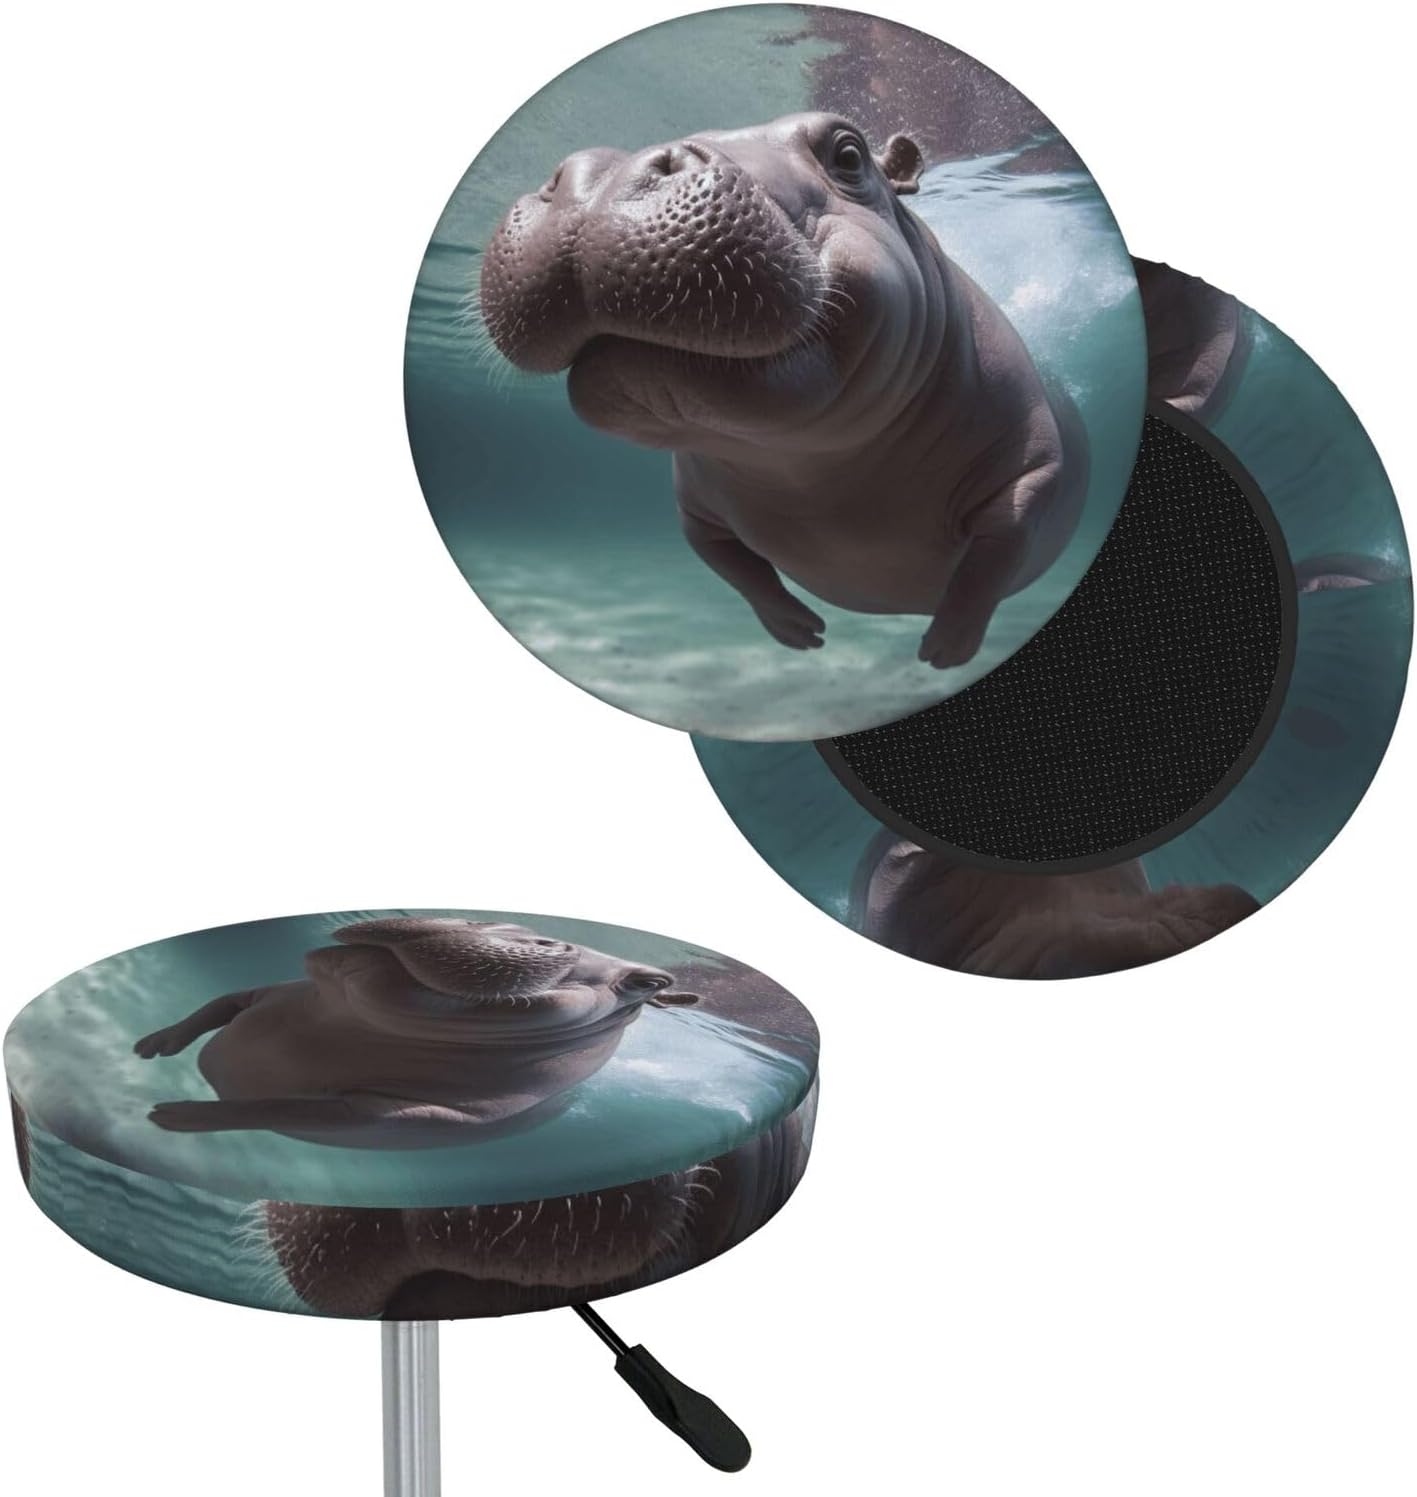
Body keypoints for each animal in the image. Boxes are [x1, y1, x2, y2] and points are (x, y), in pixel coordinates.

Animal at [133, 918, 700, 1147]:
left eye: (649, 983)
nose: (507, 929)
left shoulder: (393, 1114)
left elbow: (274, 1107)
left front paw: (171, 1116)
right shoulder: (266, 993)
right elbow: (218, 1004)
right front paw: (152, 1045)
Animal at [480, 111, 1089, 668]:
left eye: (849, 154)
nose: (610, 172)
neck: (805, 467)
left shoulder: (1034, 472)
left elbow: (989, 563)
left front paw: (942, 652)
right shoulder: (693, 510)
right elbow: (735, 569)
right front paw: (802, 633)